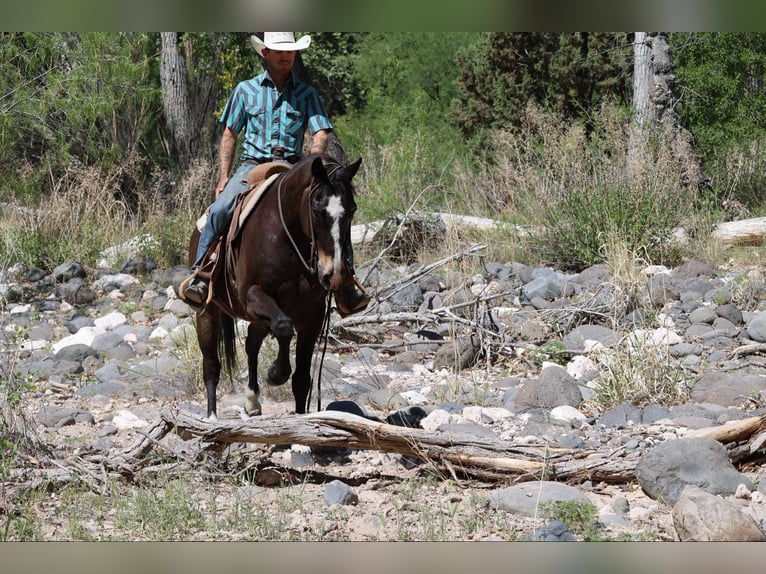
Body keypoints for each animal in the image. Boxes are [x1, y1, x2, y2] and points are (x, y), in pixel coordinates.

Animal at [187, 153, 362, 419]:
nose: (333, 275)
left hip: (259, 317)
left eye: (351, 210)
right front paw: (276, 373)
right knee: (211, 365)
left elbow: (301, 379)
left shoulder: (312, 315)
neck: (288, 237)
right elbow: (283, 328)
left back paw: (252, 402)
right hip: (208, 312)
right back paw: (212, 417)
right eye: (317, 210)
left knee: (251, 343)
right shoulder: (252, 295)